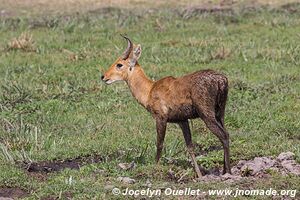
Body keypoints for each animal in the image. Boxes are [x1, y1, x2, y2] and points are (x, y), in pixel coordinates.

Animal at [102, 35, 231, 177]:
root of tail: (222, 80)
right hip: (220, 113)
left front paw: (155, 167)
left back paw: (228, 172)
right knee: (226, 133)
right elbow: (190, 146)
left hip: (207, 115)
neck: (150, 90)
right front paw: (199, 174)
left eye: (119, 64)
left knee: (224, 135)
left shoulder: (161, 118)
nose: (104, 76)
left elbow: (159, 144)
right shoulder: (182, 121)